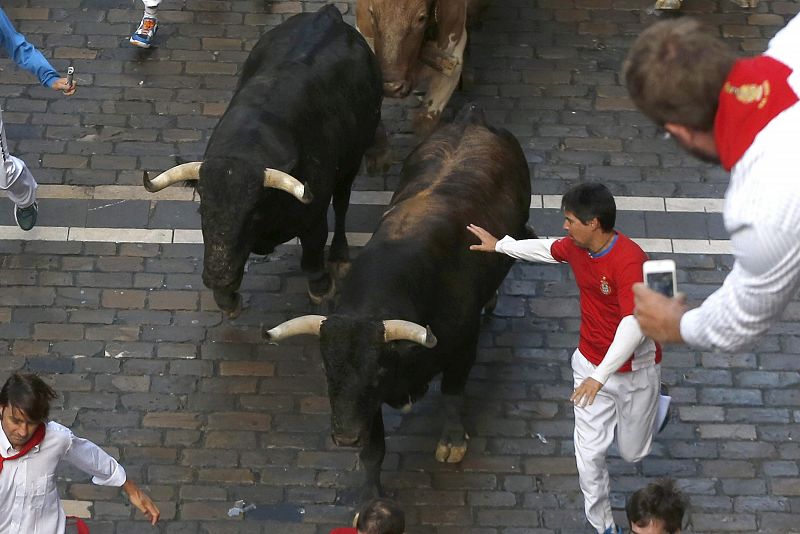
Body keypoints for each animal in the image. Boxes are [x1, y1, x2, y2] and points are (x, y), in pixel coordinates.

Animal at [145, 5, 388, 318]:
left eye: (253, 214)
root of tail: (327, 14)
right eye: (202, 209)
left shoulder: (313, 216)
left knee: (343, 202)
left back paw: (339, 255)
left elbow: (312, 258)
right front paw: (226, 297)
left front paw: (321, 287)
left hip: (353, 161)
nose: (217, 276)